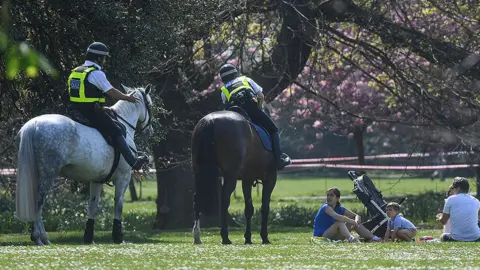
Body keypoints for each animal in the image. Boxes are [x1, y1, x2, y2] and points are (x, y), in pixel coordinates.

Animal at [190, 109, 276, 245]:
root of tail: (210, 121)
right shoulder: (270, 179)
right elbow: (265, 207)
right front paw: (264, 237)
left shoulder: (247, 179)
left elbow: (249, 209)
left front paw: (248, 237)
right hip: (230, 175)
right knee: (224, 200)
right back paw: (225, 237)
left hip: (199, 173)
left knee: (197, 200)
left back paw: (197, 237)